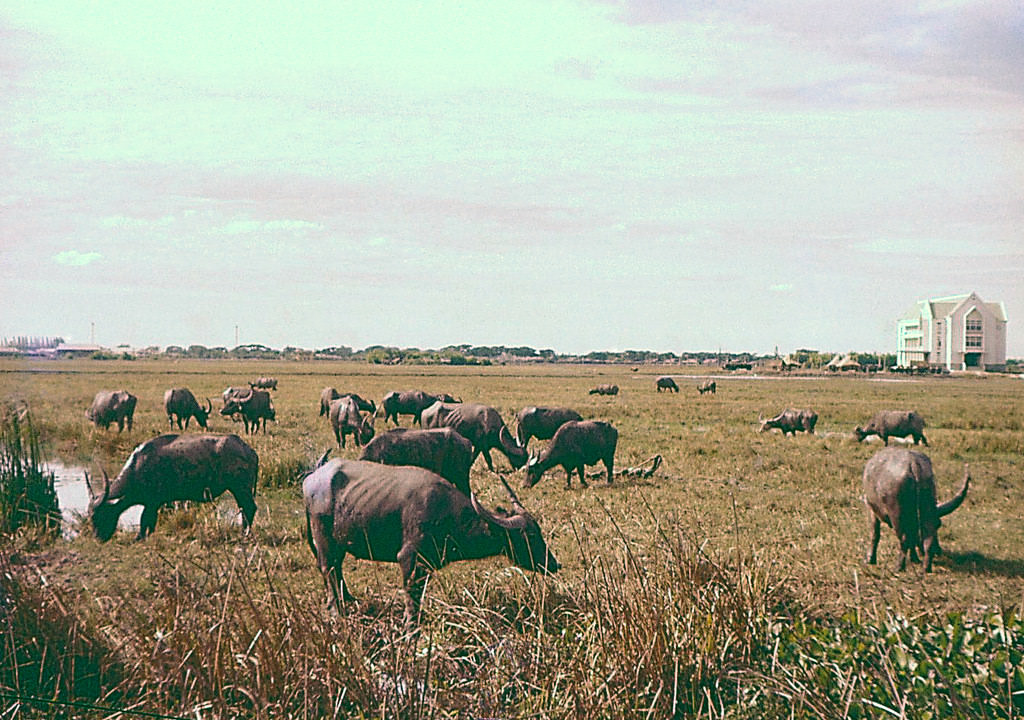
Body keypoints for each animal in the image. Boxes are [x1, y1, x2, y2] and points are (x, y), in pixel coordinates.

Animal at [91, 434, 260, 540]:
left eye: (99, 515)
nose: (98, 538)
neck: (138, 467)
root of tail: (249, 450)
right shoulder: (154, 503)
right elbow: (150, 521)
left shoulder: (153, 502)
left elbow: (144, 519)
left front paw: (139, 537)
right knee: (245, 509)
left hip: (241, 488)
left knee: (249, 508)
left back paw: (245, 533)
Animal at [303, 458, 561, 622]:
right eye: (530, 536)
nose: (554, 563)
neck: (446, 514)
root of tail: (311, 480)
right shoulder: (409, 559)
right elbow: (412, 598)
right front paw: (411, 626)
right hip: (323, 539)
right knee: (328, 570)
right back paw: (337, 612)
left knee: (337, 570)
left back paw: (349, 599)